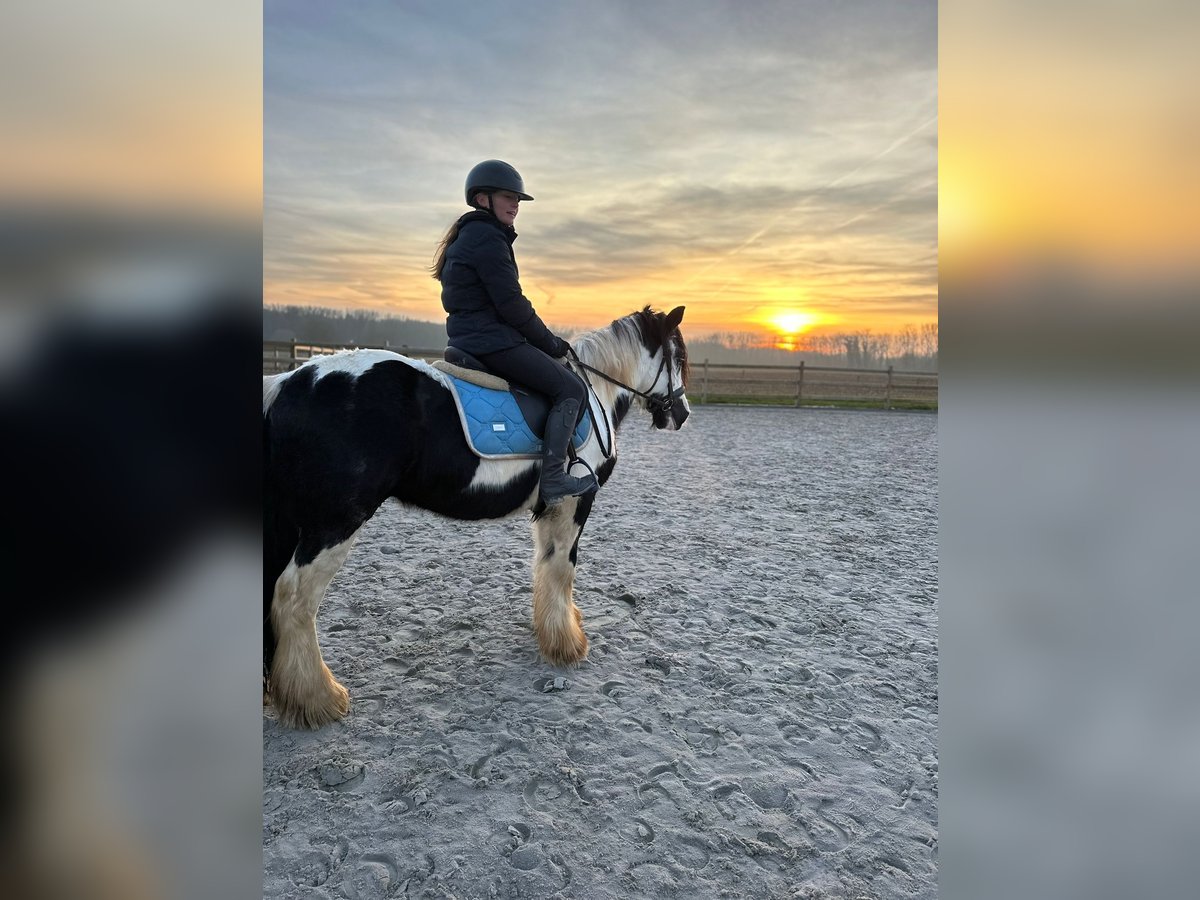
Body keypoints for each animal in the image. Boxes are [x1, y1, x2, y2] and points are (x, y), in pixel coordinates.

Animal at [266, 307, 691, 729]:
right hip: (334, 524)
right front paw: (567, 644)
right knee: (294, 598)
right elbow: (562, 569)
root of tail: (286, 384)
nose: (682, 415)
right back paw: (318, 698)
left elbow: (544, 566)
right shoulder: (576, 500)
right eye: (679, 357)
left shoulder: (550, 508)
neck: (595, 392)